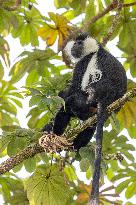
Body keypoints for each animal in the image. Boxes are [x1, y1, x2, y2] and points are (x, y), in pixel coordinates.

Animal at [42, 32, 126, 203]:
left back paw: (55, 134)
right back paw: (74, 144)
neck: (96, 49)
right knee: (91, 125)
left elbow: (72, 90)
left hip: (88, 99)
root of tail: (107, 99)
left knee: (69, 105)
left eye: (79, 43)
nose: (74, 47)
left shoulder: (84, 63)